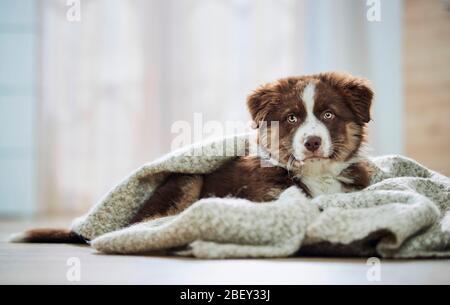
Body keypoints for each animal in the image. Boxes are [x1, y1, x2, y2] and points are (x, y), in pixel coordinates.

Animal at [11, 71, 372, 242]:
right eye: (292, 118)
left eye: (328, 115)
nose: (312, 142)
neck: (317, 173)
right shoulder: (267, 197)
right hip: (187, 180)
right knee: (148, 220)